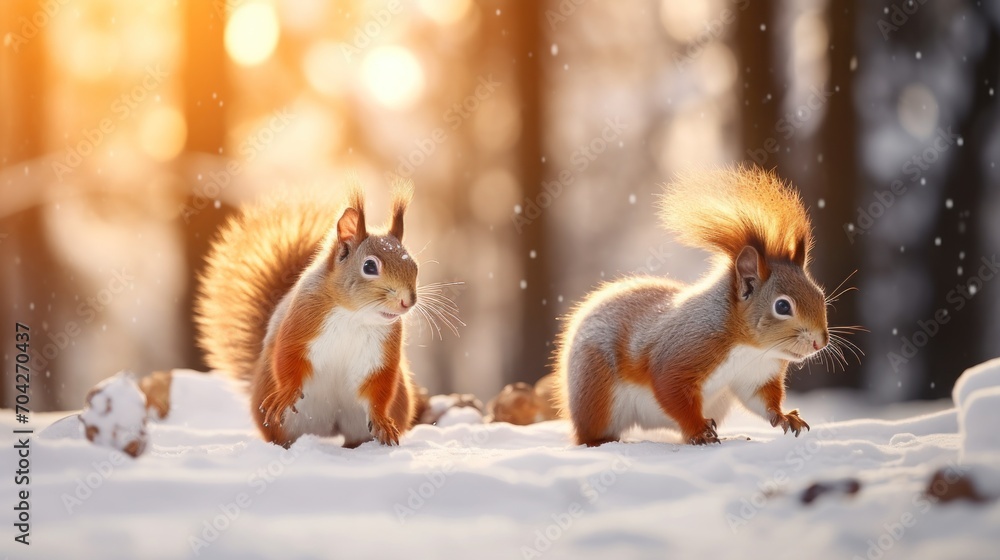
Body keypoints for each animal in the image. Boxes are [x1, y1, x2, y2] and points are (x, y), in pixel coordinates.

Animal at [195, 182, 422, 448]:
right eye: (369, 266)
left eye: (415, 266)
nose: (407, 302)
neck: (354, 315)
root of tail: (331, 427)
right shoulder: (303, 321)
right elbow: (289, 356)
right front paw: (287, 392)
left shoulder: (381, 352)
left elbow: (380, 386)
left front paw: (382, 420)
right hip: (284, 417)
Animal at [560, 166, 832, 446]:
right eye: (783, 307)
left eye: (820, 295)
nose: (821, 342)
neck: (748, 347)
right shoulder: (682, 353)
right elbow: (673, 392)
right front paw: (699, 429)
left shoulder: (757, 374)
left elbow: (761, 401)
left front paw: (784, 416)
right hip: (597, 390)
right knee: (590, 431)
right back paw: (599, 440)